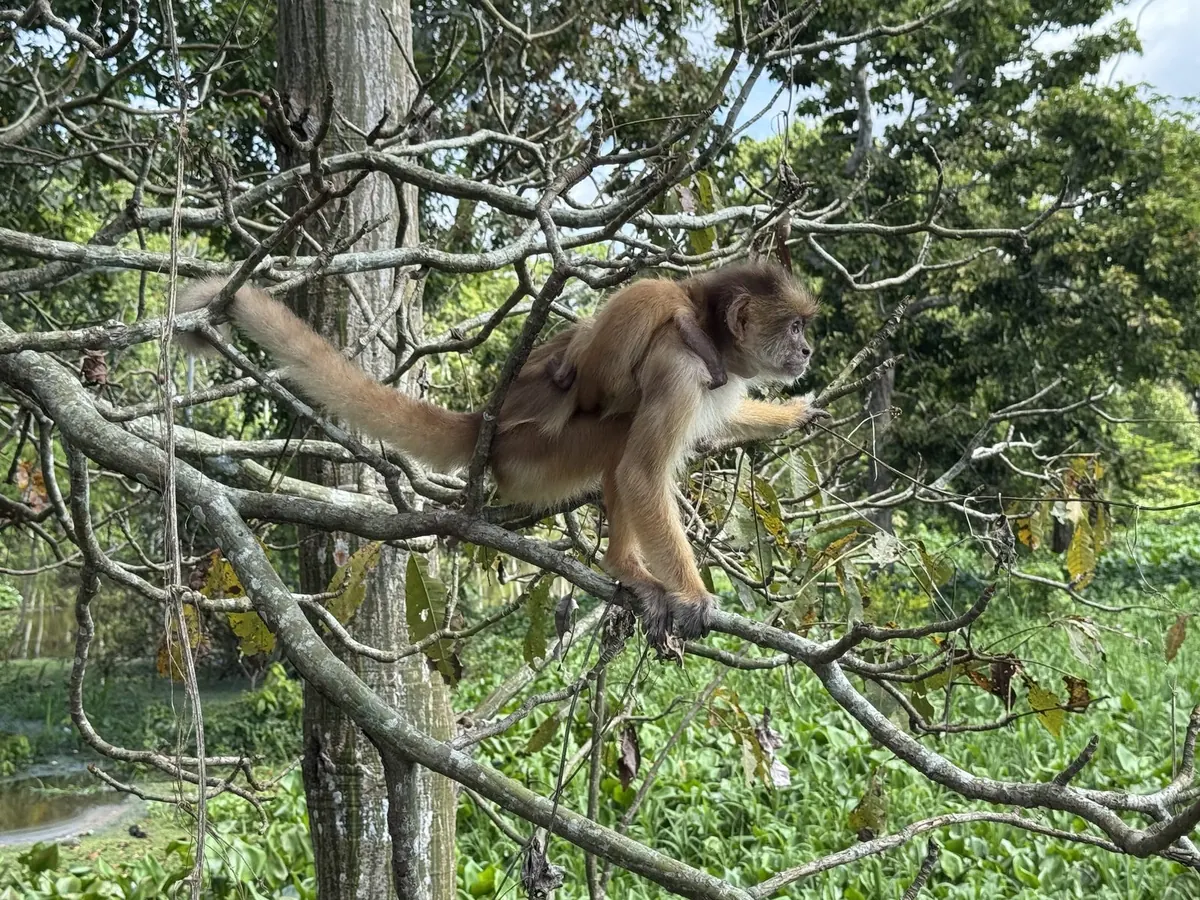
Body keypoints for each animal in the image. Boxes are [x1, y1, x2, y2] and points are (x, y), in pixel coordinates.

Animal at [178, 260, 820, 648]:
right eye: (794, 327)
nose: (809, 350)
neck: (711, 343)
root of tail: (486, 419)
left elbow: (724, 420)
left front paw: (794, 413)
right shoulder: (680, 368)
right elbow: (641, 473)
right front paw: (693, 596)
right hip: (531, 453)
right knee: (620, 437)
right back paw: (624, 565)